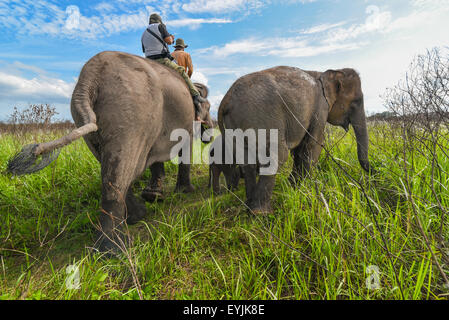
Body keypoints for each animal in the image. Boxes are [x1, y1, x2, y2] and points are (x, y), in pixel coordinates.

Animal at [6, 51, 214, 252]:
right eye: (209, 107)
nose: (209, 136)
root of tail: (88, 80)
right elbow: (185, 147)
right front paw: (185, 192)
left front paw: (154, 195)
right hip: (130, 112)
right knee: (121, 172)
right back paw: (114, 249)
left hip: (90, 119)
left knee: (115, 169)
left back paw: (135, 218)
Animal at [217, 66, 372, 214]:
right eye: (356, 102)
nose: (372, 172)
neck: (326, 72)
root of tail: (225, 100)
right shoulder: (320, 109)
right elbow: (313, 145)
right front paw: (306, 189)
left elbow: (300, 150)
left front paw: (293, 186)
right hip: (261, 118)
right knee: (278, 155)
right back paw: (261, 213)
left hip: (235, 127)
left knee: (247, 162)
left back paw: (249, 206)